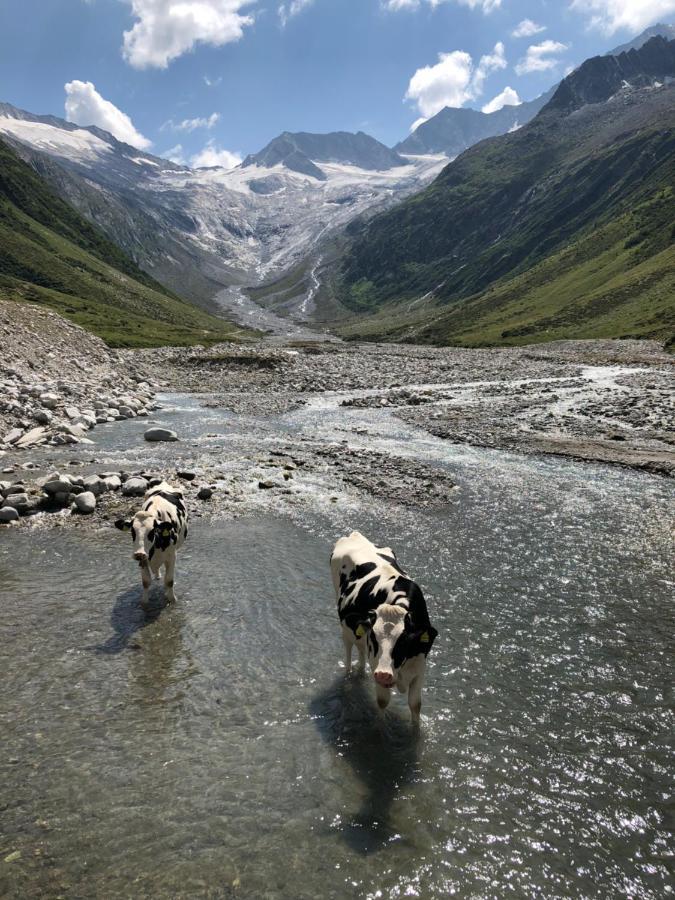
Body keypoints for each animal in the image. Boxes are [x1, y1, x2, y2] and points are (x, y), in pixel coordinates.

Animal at [332, 532, 438, 728]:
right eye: (374, 637)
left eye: (404, 640)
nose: (383, 675)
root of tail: (354, 535)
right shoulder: (376, 662)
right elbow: (382, 702)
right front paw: (381, 728)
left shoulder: (419, 667)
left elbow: (415, 704)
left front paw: (415, 730)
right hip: (345, 630)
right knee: (349, 652)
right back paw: (349, 676)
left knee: (361, 650)